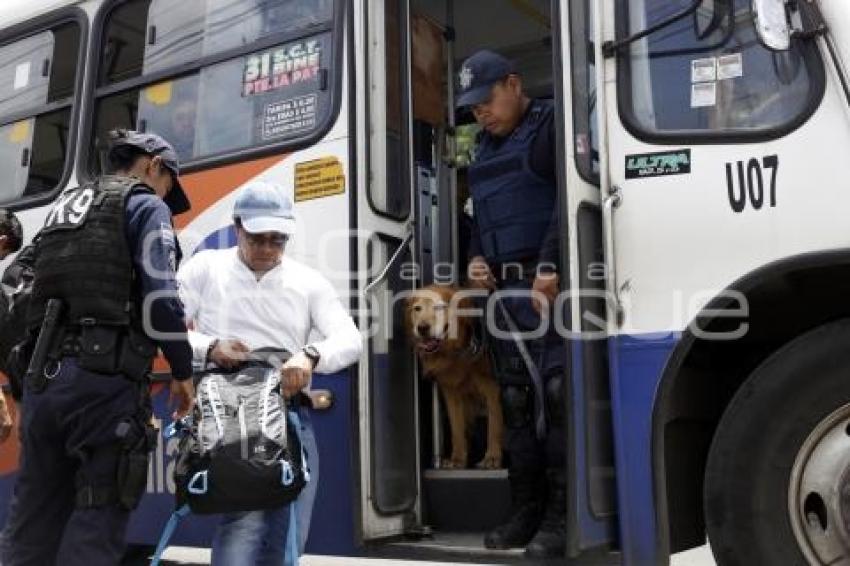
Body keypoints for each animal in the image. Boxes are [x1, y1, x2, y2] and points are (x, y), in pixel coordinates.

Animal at [406, 284, 504, 470]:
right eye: (417, 309)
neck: (455, 351)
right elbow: (457, 427)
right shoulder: (451, 391)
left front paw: (492, 457)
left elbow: (494, 425)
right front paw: (457, 459)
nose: (422, 327)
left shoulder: (492, 388)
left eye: (439, 307)